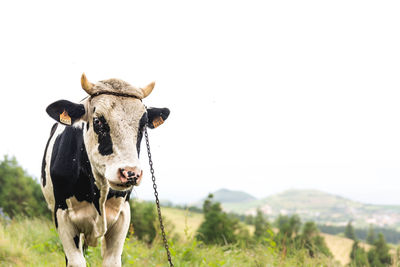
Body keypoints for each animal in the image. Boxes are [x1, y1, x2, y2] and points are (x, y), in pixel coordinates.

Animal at [41, 74, 170, 266]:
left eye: (143, 125)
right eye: (97, 121)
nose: (130, 173)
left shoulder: (123, 215)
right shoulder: (62, 214)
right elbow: (76, 261)